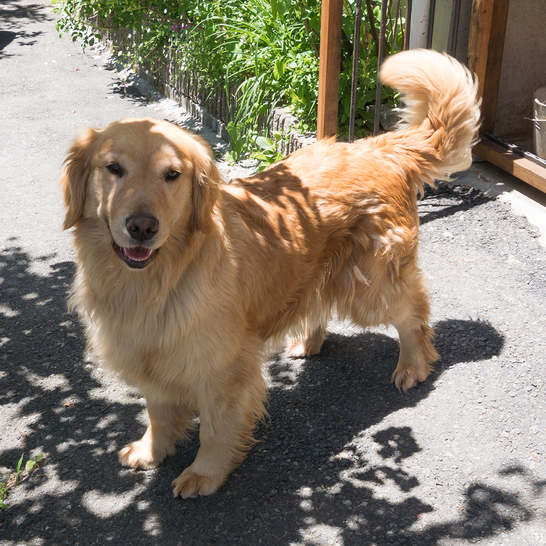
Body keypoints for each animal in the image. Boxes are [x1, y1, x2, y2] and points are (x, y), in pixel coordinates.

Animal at [60, 49, 476, 496]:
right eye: (113, 168)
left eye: (172, 175)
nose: (141, 227)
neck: (155, 280)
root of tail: (377, 147)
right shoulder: (152, 354)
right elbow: (157, 412)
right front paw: (151, 450)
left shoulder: (224, 368)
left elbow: (215, 429)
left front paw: (206, 472)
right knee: (320, 303)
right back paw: (307, 342)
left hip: (369, 286)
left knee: (413, 311)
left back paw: (413, 364)